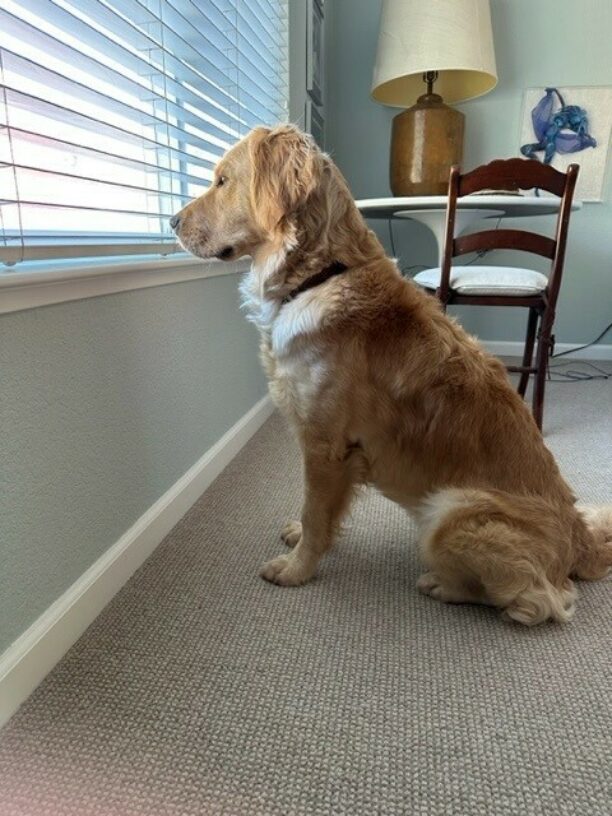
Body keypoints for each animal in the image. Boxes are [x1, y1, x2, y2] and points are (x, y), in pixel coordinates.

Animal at [172, 126, 612, 624]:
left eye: (223, 181)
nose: (170, 222)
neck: (319, 276)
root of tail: (581, 538)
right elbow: (319, 513)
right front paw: (301, 538)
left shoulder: (324, 445)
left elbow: (315, 512)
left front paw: (297, 569)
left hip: (449, 511)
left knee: (538, 601)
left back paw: (442, 584)